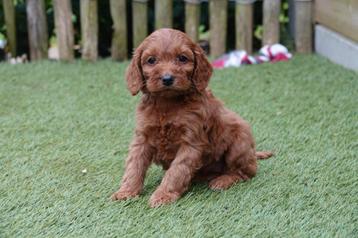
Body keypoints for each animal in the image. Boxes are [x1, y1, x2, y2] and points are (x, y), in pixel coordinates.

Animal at [110, 27, 272, 207]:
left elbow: (177, 170)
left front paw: (163, 195)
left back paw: (222, 180)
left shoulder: (191, 142)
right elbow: (134, 166)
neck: (167, 103)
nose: (167, 78)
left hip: (239, 142)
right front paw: (126, 191)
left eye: (182, 58)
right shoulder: (142, 138)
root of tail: (252, 154)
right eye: (151, 60)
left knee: (247, 172)